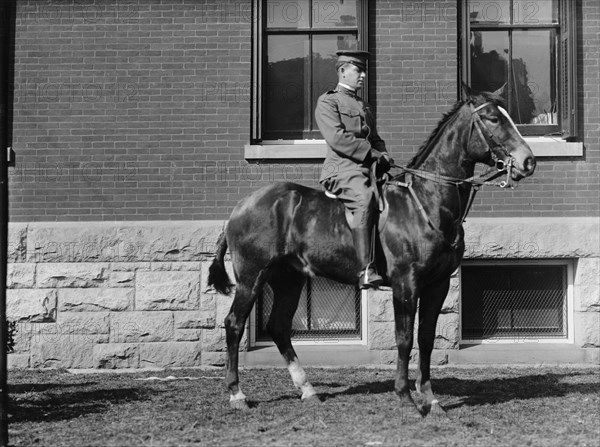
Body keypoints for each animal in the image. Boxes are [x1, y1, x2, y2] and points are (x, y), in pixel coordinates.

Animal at [206, 87, 536, 416]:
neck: (425, 202)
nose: (528, 161)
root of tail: (241, 207)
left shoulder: (438, 285)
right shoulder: (405, 284)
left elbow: (426, 339)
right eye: (492, 118)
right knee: (234, 324)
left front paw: (430, 398)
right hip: (252, 278)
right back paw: (237, 393)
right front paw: (405, 397)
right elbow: (404, 339)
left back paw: (307, 389)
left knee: (279, 327)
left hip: (289, 280)